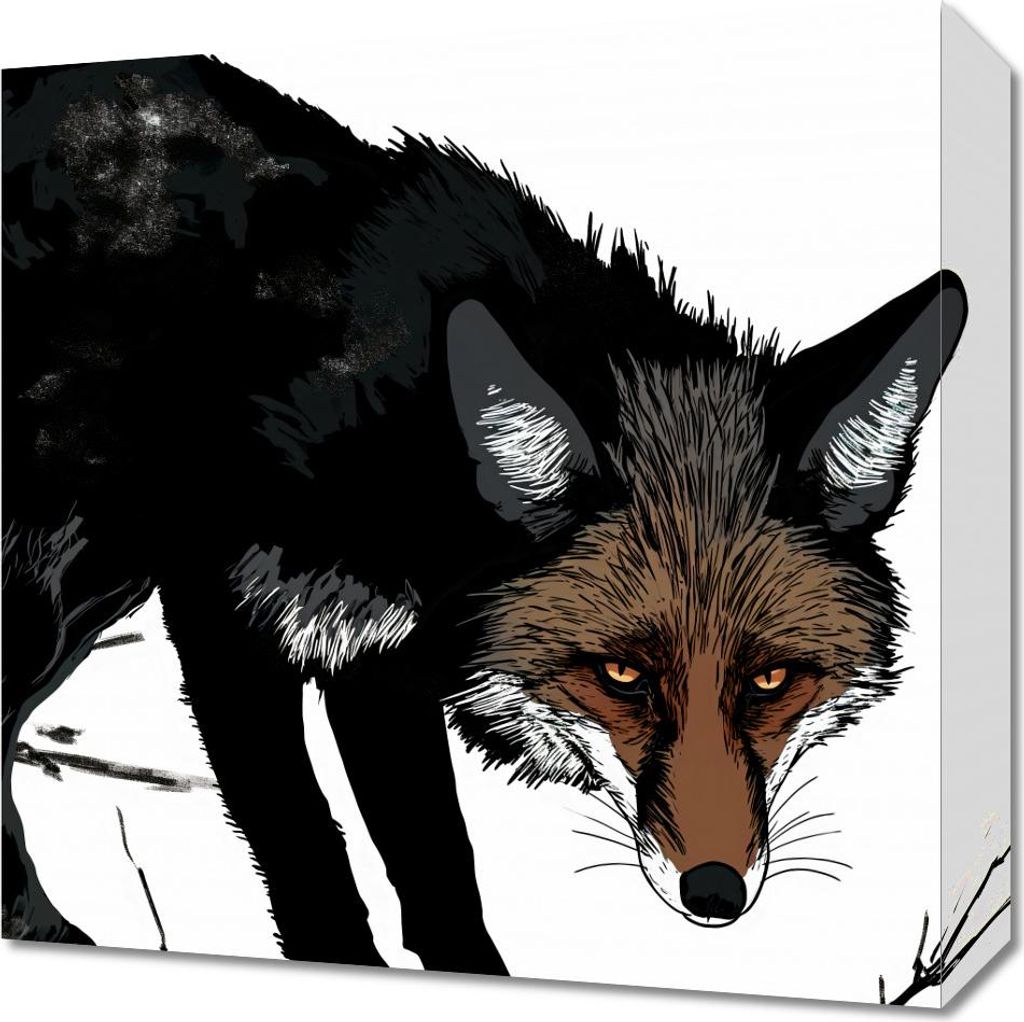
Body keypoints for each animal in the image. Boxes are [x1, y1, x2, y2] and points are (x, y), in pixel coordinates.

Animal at [2, 55, 966, 970]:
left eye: (770, 680)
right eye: (621, 675)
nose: (717, 895)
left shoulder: (370, 654)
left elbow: (433, 858)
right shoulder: (223, 616)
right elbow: (304, 838)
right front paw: (336, 958)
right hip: (60, 587)